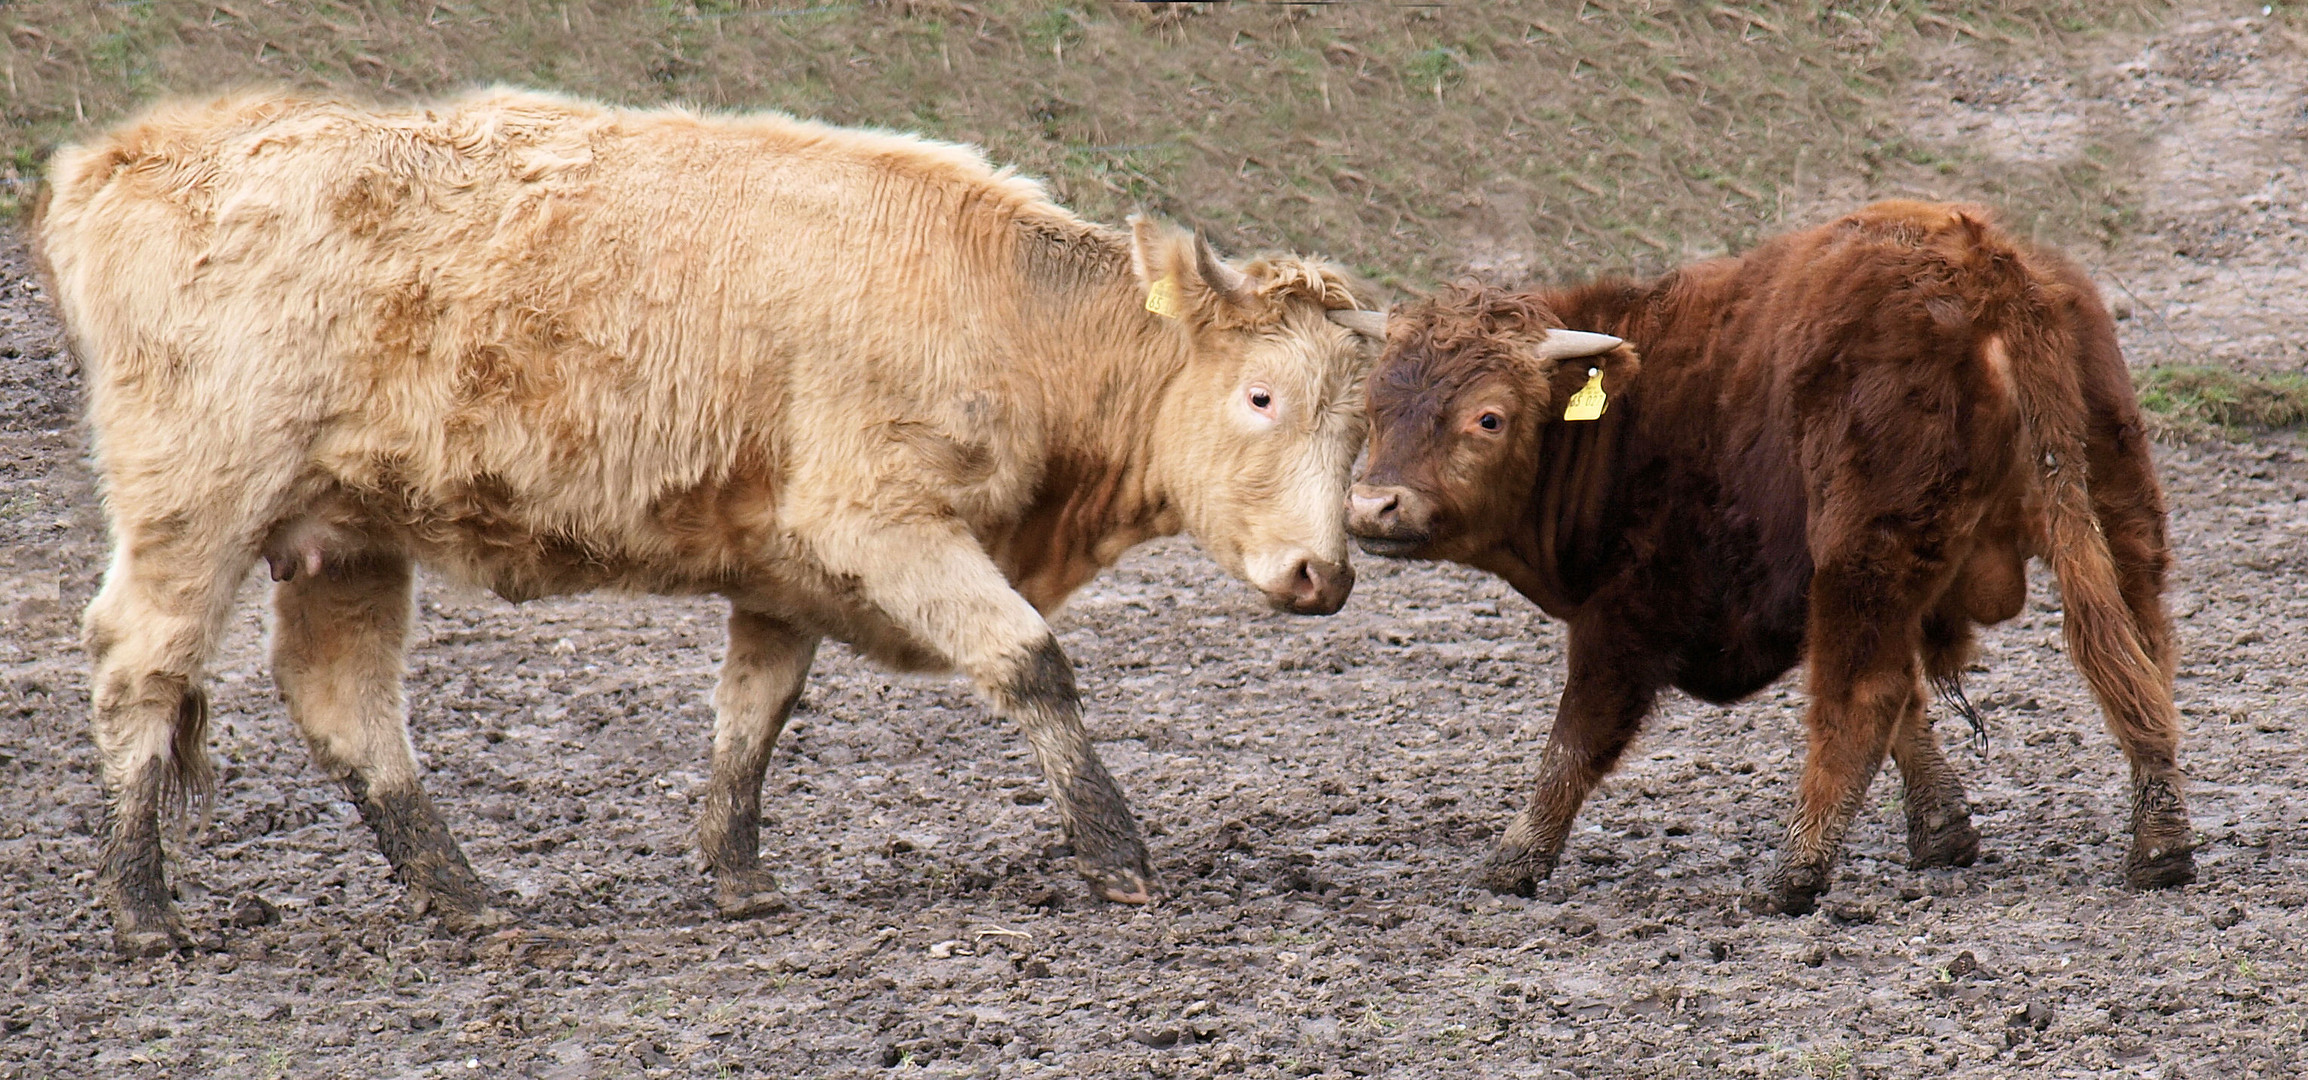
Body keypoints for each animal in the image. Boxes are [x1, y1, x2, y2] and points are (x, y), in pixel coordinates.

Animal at [36, 88, 1375, 955]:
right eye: (1261, 397)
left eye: (1356, 422)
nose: (1323, 573)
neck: (1000, 311)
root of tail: (130, 153)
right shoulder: (884, 521)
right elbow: (1030, 663)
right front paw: (1116, 857)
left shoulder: (788, 568)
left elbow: (754, 715)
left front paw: (739, 880)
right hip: (196, 500)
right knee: (141, 665)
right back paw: (144, 910)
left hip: (347, 536)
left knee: (343, 700)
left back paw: (466, 897)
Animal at [1347, 200, 2197, 909]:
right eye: (1372, 407)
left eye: (1488, 418)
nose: (1372, 507)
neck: (1631, 408)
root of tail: (1982, 265)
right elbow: (1917, 716)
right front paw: (1943, 831)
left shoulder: (1631, 609)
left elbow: (1577, 737)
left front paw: (1514, 858)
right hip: (2119, 510)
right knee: (2142, 661)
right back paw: (2161, 845)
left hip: (1864, 550)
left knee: (1860, 695)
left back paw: (1795, 873)